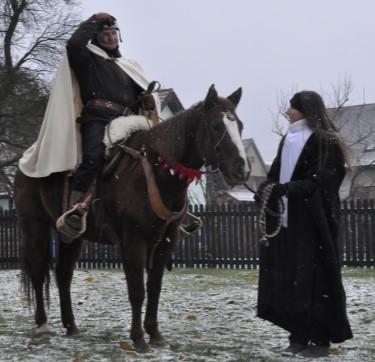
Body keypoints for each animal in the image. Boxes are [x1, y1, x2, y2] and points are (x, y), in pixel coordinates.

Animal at [13, 84, 251, 350]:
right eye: (216, 126)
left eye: (239, 125)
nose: (241, 170)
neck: (157, 171)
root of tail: (29, 159)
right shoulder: (133, 240)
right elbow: (137, 290)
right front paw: (138, 338)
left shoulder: (166, 241)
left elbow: (154, 287)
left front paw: (155, 333)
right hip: (35, 227)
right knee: (38, 272)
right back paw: (43, 324)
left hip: (73, 237)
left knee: (63, 275)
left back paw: (71, 326)